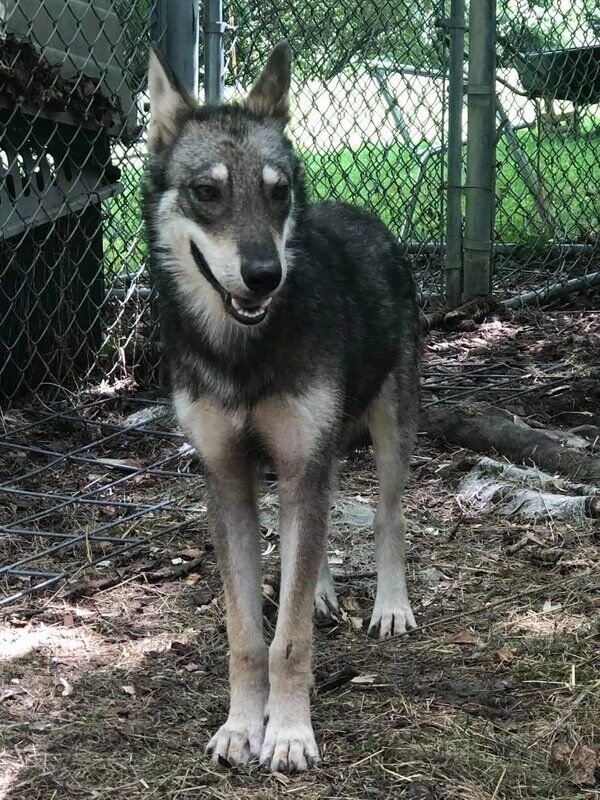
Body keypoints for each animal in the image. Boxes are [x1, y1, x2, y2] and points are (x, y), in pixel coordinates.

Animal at [143, 41, 420, 773]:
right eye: (207, 192)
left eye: (278, 192)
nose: (265, 275)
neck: (243, 354)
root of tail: (361, 212)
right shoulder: (230, 481)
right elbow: (247, 635)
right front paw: (242, 728)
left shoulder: (302, 464)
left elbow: (287, 639)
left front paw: (290, 733)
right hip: (311, 462)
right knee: (313, 539)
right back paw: (322, 591)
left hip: (388, 435)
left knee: (386, 520)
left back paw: (390, 607)